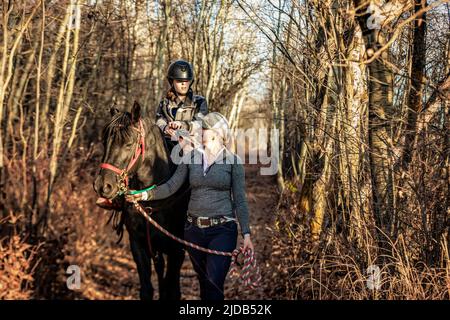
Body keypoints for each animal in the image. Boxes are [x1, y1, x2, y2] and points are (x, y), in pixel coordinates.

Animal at [93, 102, 188, 300]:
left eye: (129, 143)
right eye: (105, 141)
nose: (102, 186)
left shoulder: (176, 250)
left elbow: (172, 290)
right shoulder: (138, 245)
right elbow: (147, 289)